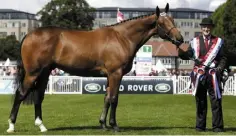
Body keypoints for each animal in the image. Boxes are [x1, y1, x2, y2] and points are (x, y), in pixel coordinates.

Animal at [6, 3, 184, 133]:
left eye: (173, 20)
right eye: (162, 23)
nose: (180, 39)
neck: (122, 37)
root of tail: (29, 35)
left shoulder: (109, 76)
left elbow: (106, 98)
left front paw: (103, 124)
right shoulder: (115, 74)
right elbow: (114, 99)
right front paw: (114, 125)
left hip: (44, 73)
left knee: (38, 96)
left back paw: (41, 126)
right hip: (32, 73)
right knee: (20, 94)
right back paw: (11, 126)